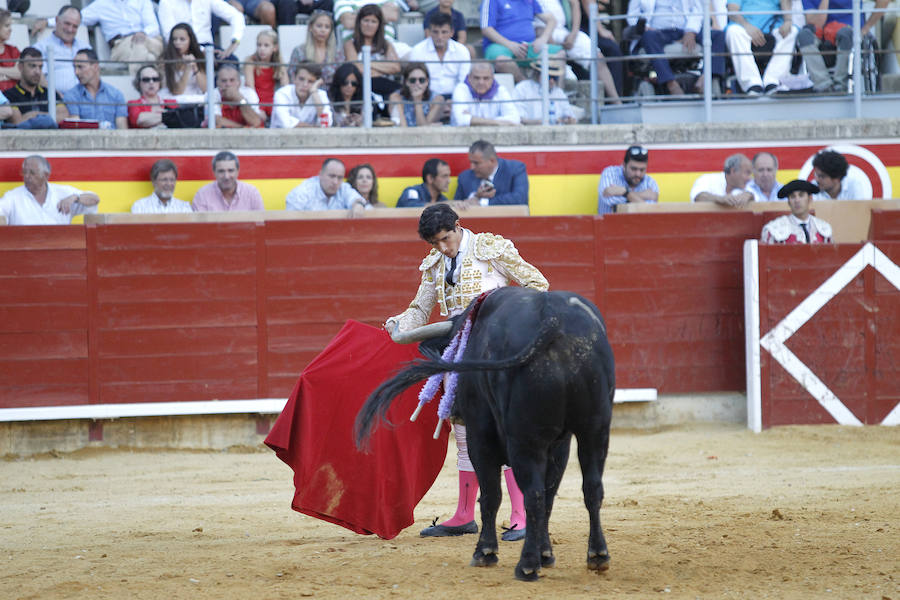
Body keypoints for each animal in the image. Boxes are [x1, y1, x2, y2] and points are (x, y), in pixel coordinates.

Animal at [356, 288, 616, 580]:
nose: (454, 410)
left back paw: (526, 565)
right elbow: (550, 494)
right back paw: (597, 555)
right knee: (590, 488)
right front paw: (546, 554)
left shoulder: (480, 435)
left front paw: (485, 552)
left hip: (524, 437)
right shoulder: (560, 444)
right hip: (595, 428)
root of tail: (555, 319)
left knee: (533, 494)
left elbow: (491, 494)